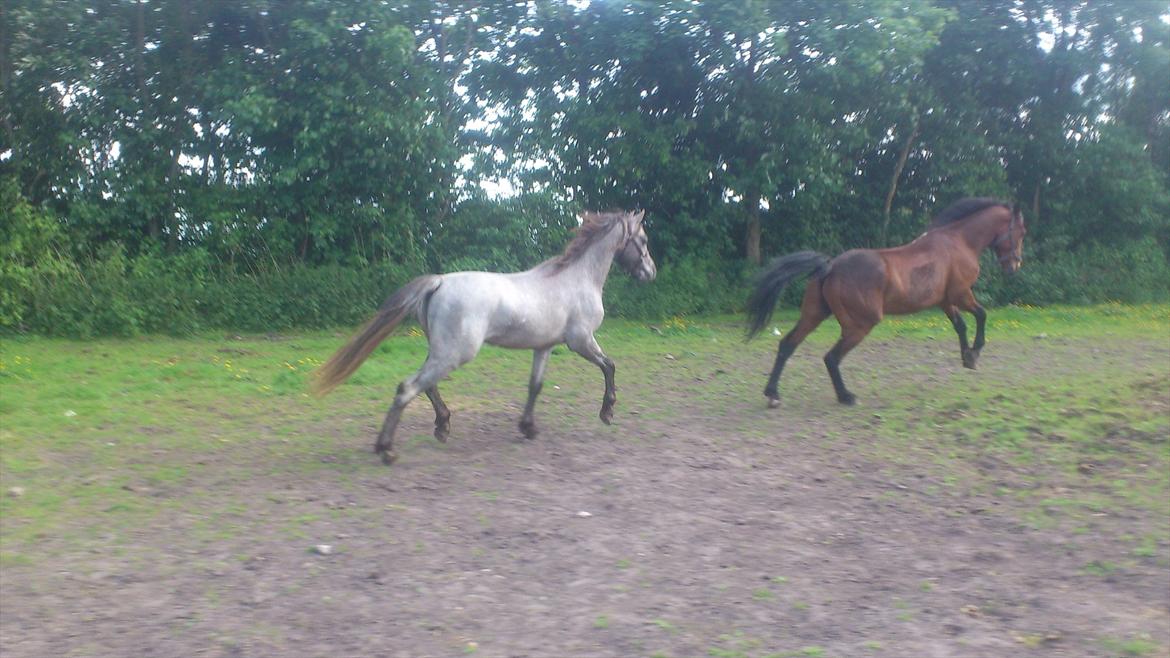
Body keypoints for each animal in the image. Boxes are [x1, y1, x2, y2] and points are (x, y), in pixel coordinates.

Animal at [312, 209, 657, 464]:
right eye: (642, 238)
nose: (650, 273)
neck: (577, 279)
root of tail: (438, 282)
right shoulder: (581, 341)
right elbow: (609, 366)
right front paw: (607, 412)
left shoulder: (544, 347)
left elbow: (535, 386)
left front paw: (528, 428)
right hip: (455, 353)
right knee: (408, 387)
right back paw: (387, 450)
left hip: (441, 350)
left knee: (426, 385)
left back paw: (442, 426)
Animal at [745, 197, 1025, 408]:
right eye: (1021, 232)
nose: (1013, 267)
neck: (959, 242)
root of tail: (831, 266)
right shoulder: (961, 293)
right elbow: (981, 314)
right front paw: (975, 352)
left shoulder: (945, 300)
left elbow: (961, 325)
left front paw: (967, 357)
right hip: (860, 324)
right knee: (831, 357)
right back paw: (846, 396)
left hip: (814, 314)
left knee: (787, 345)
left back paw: (773, 394)